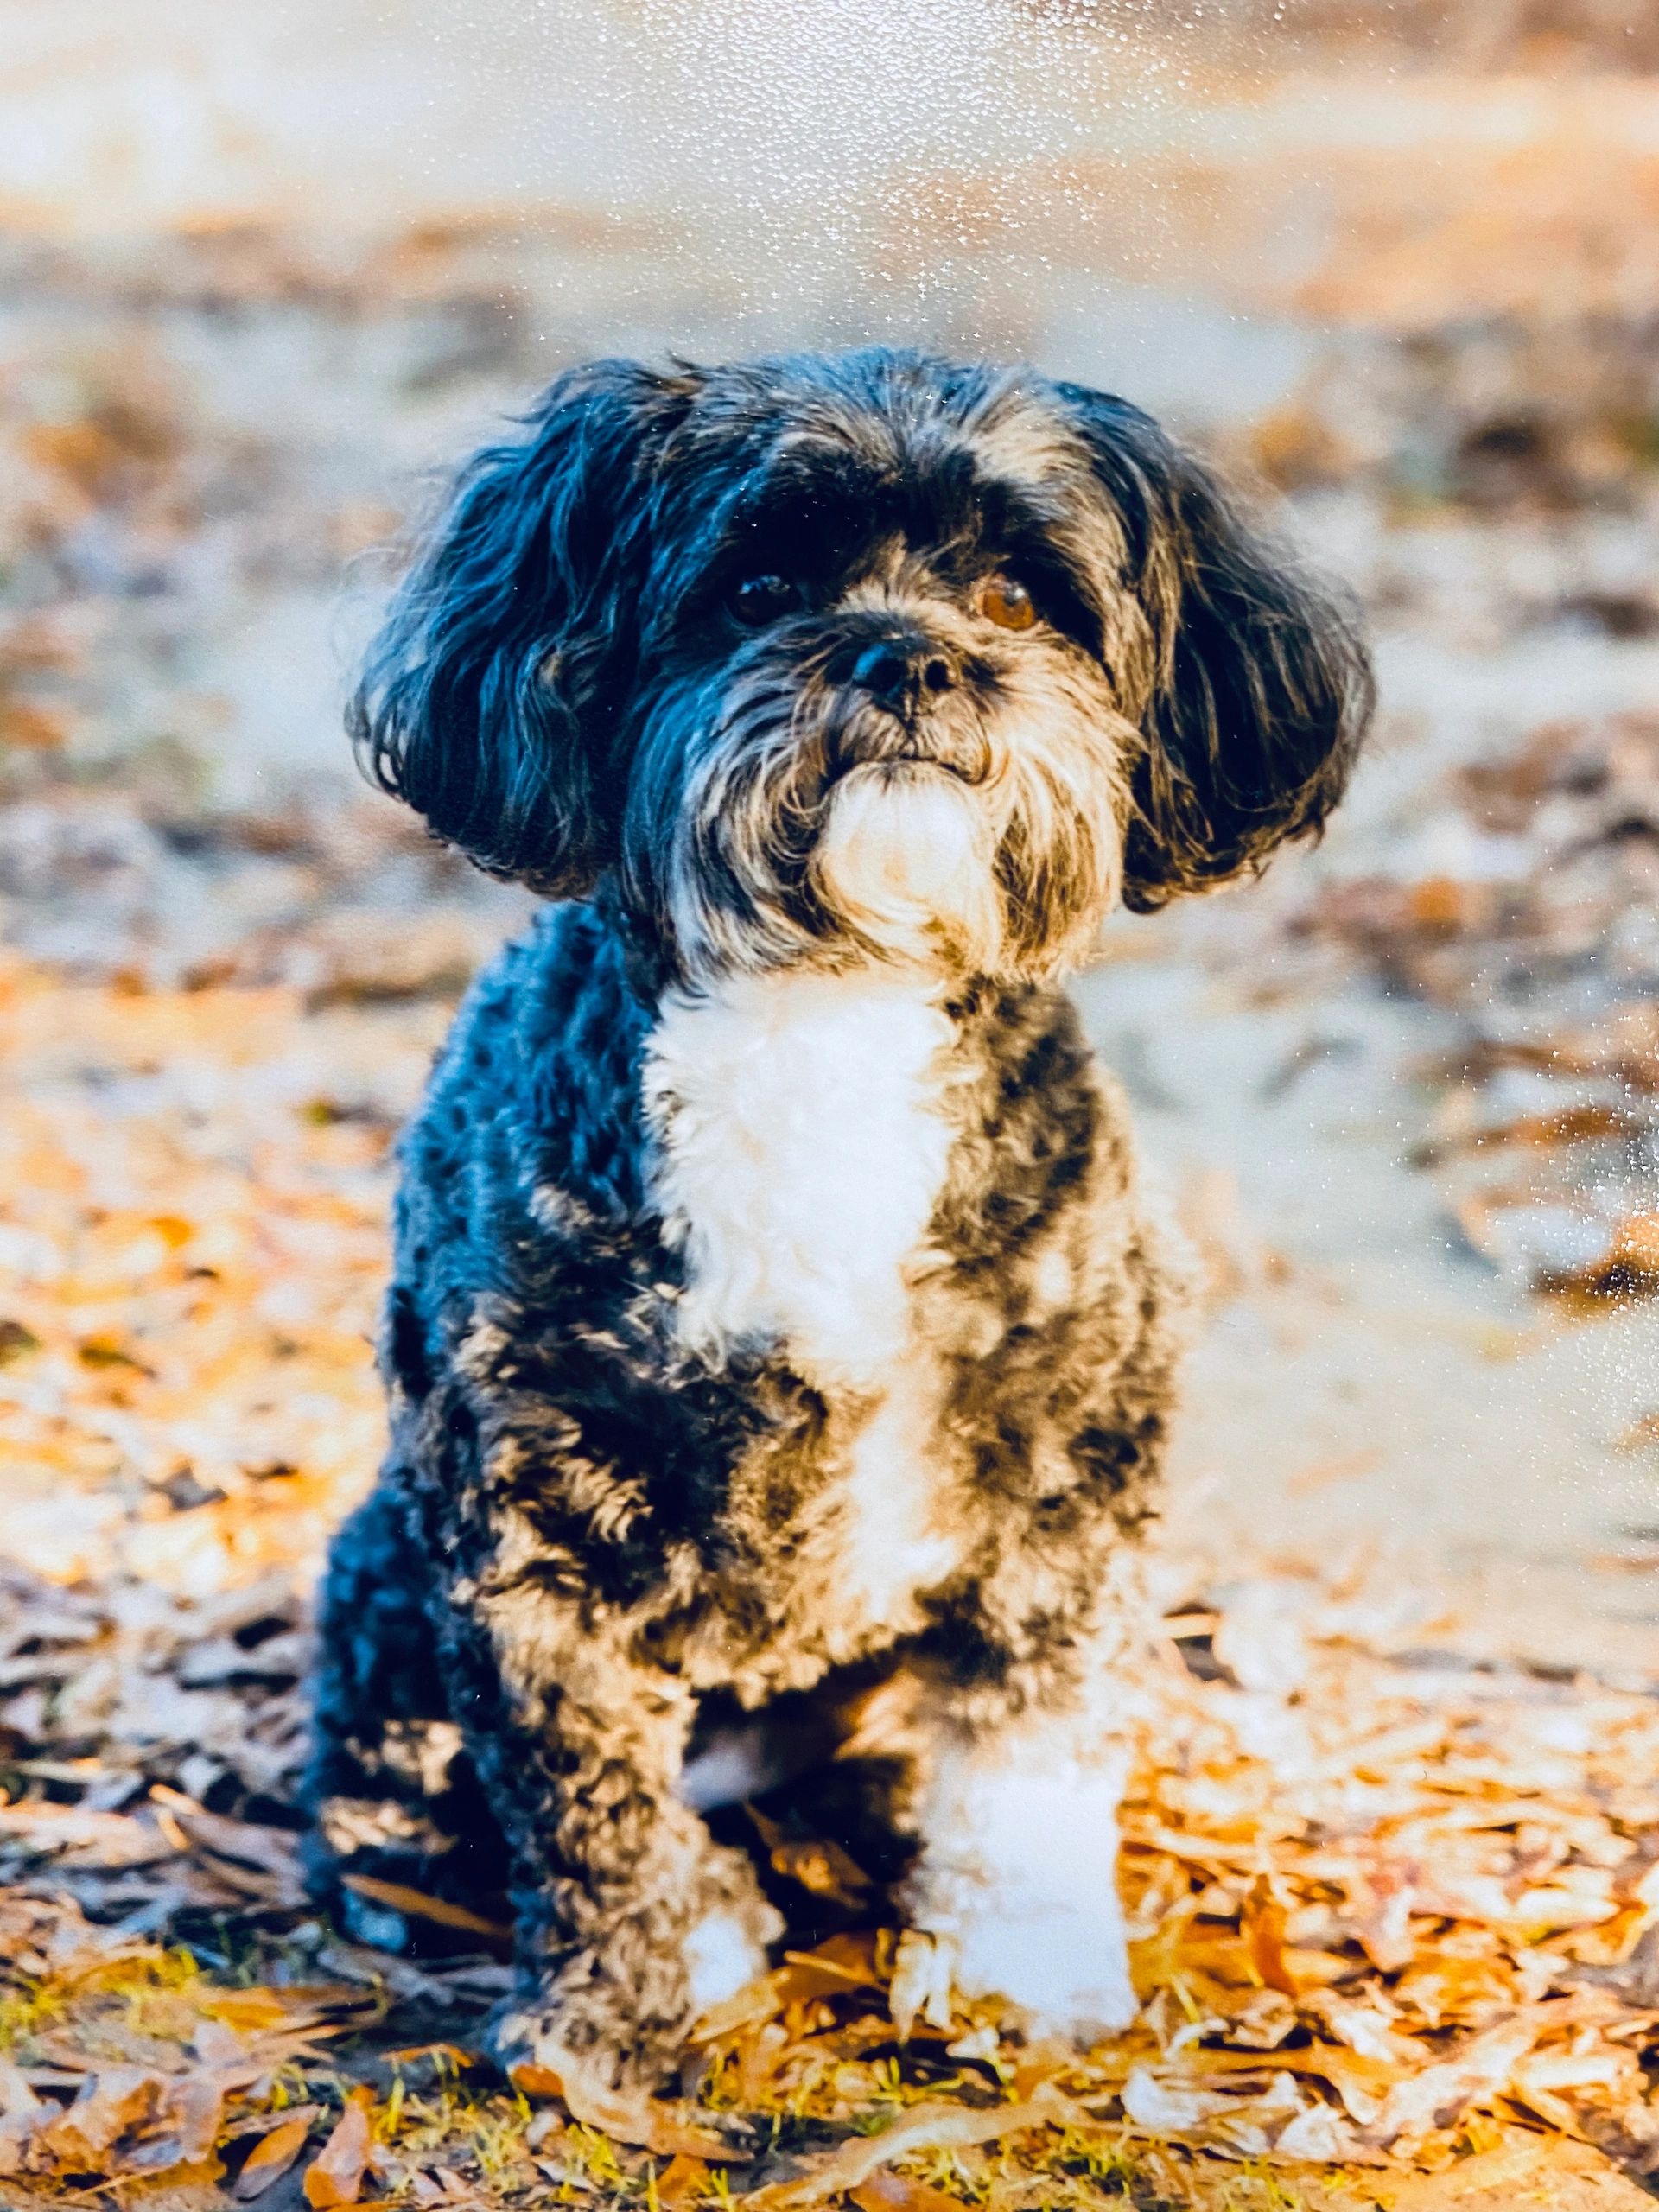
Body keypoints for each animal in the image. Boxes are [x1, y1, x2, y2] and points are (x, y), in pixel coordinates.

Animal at [302, 349, 1380, 2106]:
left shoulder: (1065, 1490)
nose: (916, 658)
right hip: (385, 1578)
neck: (831, 1008)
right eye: (755, 587)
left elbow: (1027, 1757)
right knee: (405, 1795)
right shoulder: (522, 1526)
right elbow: (589, 1810)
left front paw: (1018, 1971)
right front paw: (620, 2018)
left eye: (1021, 594)